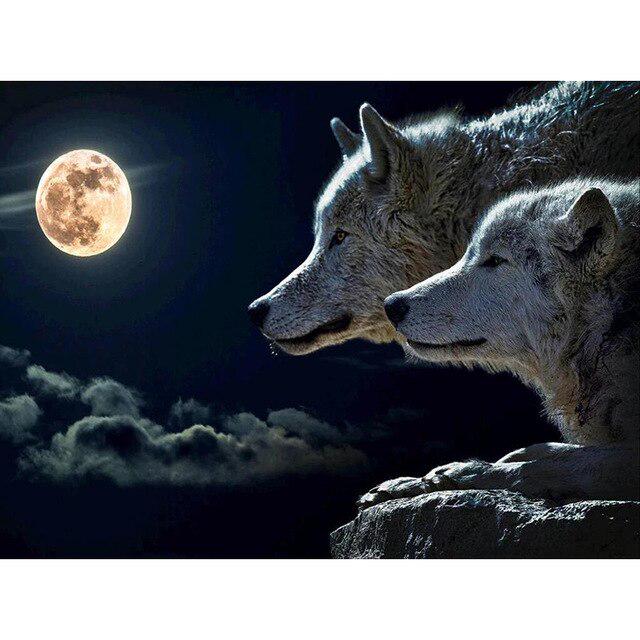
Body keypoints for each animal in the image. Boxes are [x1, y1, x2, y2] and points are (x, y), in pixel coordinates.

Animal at [360, 179, 640, 507]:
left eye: (495, 260)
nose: (391, 305)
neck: (611, 324)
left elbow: (544, 466)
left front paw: (460, 474)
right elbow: (543, 451)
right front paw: (409, 482)